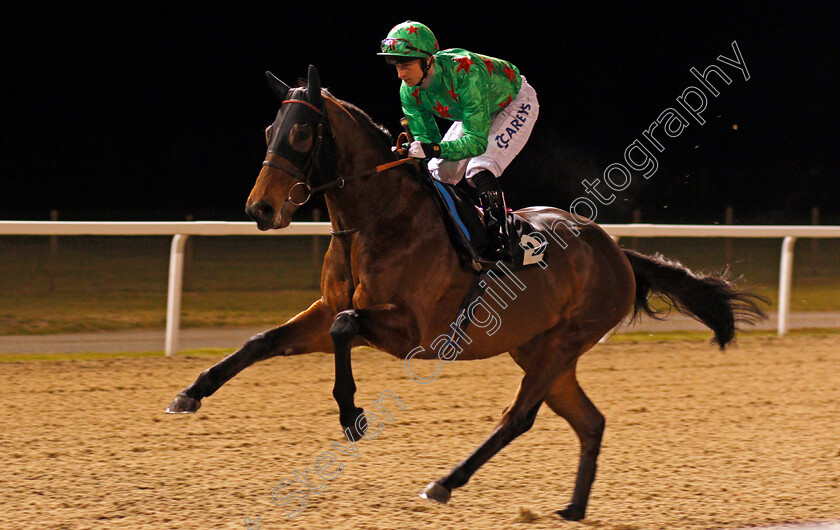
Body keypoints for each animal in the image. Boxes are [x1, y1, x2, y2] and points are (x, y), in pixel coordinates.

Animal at [166, 64, 768, 516]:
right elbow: (264, 340)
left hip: (563, 342)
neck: (379, 218)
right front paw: (190, 392)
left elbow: (343, 328)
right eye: (268, 133)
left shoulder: (414, 332)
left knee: (519, 417)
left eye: (301, 134)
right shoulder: (331, 305)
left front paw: (352, 413)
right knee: (589, 421)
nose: (260, 209)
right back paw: (573, 508)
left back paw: (445, 482)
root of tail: (617, 250)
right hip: (539, 346)